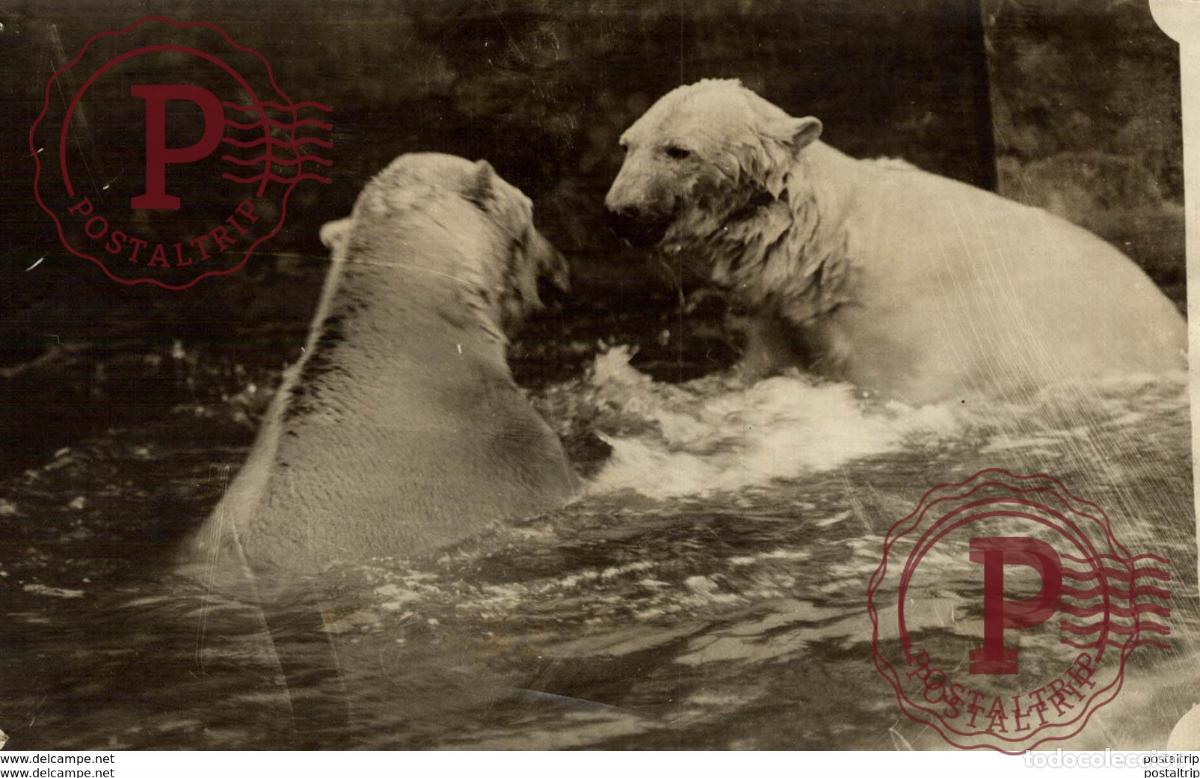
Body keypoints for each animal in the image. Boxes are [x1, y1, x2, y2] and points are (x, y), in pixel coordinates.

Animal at [604, 79, 1186, 404]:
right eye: (628, 144)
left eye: (678, 150)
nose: (621, 213)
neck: (827, 248)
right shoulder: (784, 317)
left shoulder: (914, 331)